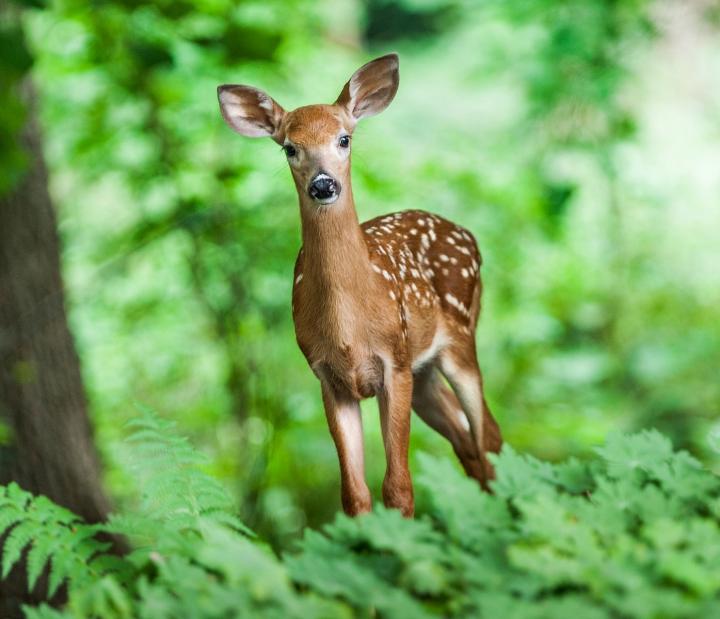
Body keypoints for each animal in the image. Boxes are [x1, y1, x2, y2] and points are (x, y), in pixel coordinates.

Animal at [217, 53, 502, 517]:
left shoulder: (394, 362)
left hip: (459, 337)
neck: (349, 327)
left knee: (488, 435)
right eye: (289, 147)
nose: (323, 184)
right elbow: (354, 494)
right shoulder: (328, 377)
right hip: (424, 372)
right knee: (466, 441)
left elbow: (399, 487)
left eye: (344, 139)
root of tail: (468, 235)